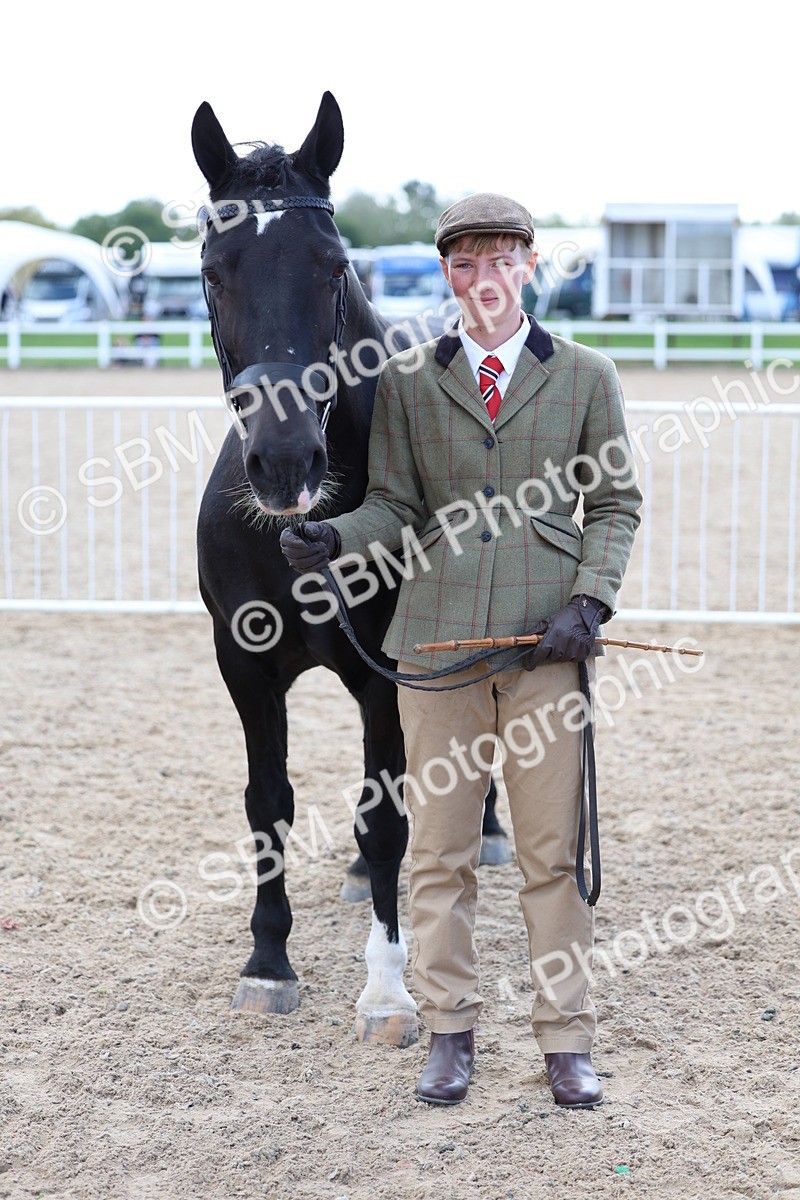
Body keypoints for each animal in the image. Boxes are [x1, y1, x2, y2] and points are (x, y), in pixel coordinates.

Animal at [191, 92, 509, 1046]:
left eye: (334, 269)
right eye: (213, 271)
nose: (286, 463)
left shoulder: (386, 676)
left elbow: (384, 821)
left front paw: (387, 990)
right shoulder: (245, 665)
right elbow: (268, 805)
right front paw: (267, 962)